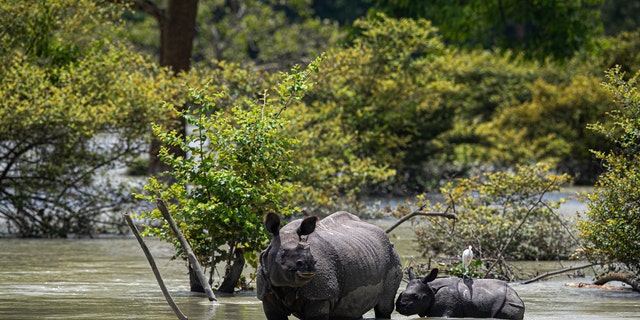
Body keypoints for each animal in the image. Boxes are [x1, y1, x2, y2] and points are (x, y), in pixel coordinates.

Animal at [255, 211, 400, 318]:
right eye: (282, 254)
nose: (309, 264)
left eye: (310, 251)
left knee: (384, 308)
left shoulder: (320, 296)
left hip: (392, 256)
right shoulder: (266, 295)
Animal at [396, 268, 524, 320]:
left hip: (508, 303)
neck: (430, 289)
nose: (400, 306)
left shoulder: (446, 309)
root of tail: (517, 296)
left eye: (416, 296)